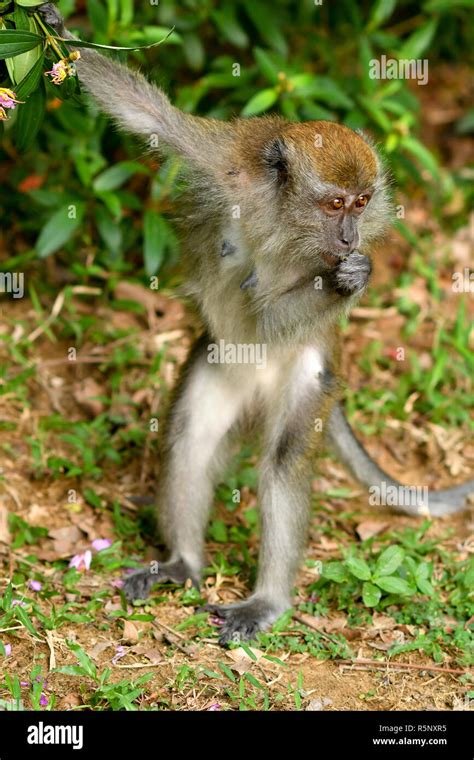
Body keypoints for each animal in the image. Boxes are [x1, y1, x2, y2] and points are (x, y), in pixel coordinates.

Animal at [39, 8, 472, 644]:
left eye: (363, 202)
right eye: (334, 204)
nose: (350, 239)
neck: (281, 214)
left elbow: (267, 310)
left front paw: (351, 278)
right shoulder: (227, 159)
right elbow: (148, 115)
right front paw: (58, 31)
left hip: (309, 376)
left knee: (284, 461)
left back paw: (267, 599)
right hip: (215, 365)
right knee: (191, 437)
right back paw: (182, 563)